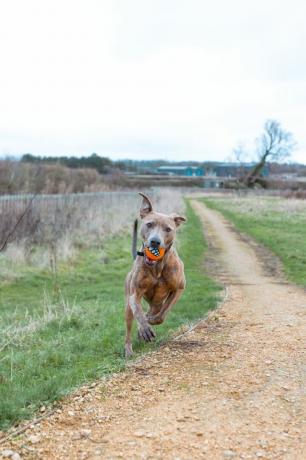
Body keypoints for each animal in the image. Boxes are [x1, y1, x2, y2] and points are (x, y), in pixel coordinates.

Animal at [124, 192, 186, 358]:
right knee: (129, 325)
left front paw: (151, 321)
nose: (155, 242)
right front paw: (145, 329)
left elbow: (161, 315)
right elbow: (138, 311)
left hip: (156, 302)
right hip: (127, 305)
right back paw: (129, 348)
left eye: (168, 229)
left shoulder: (179, 289)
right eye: (149, 224)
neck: (157, 266)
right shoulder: (134, 294)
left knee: (154, 310)